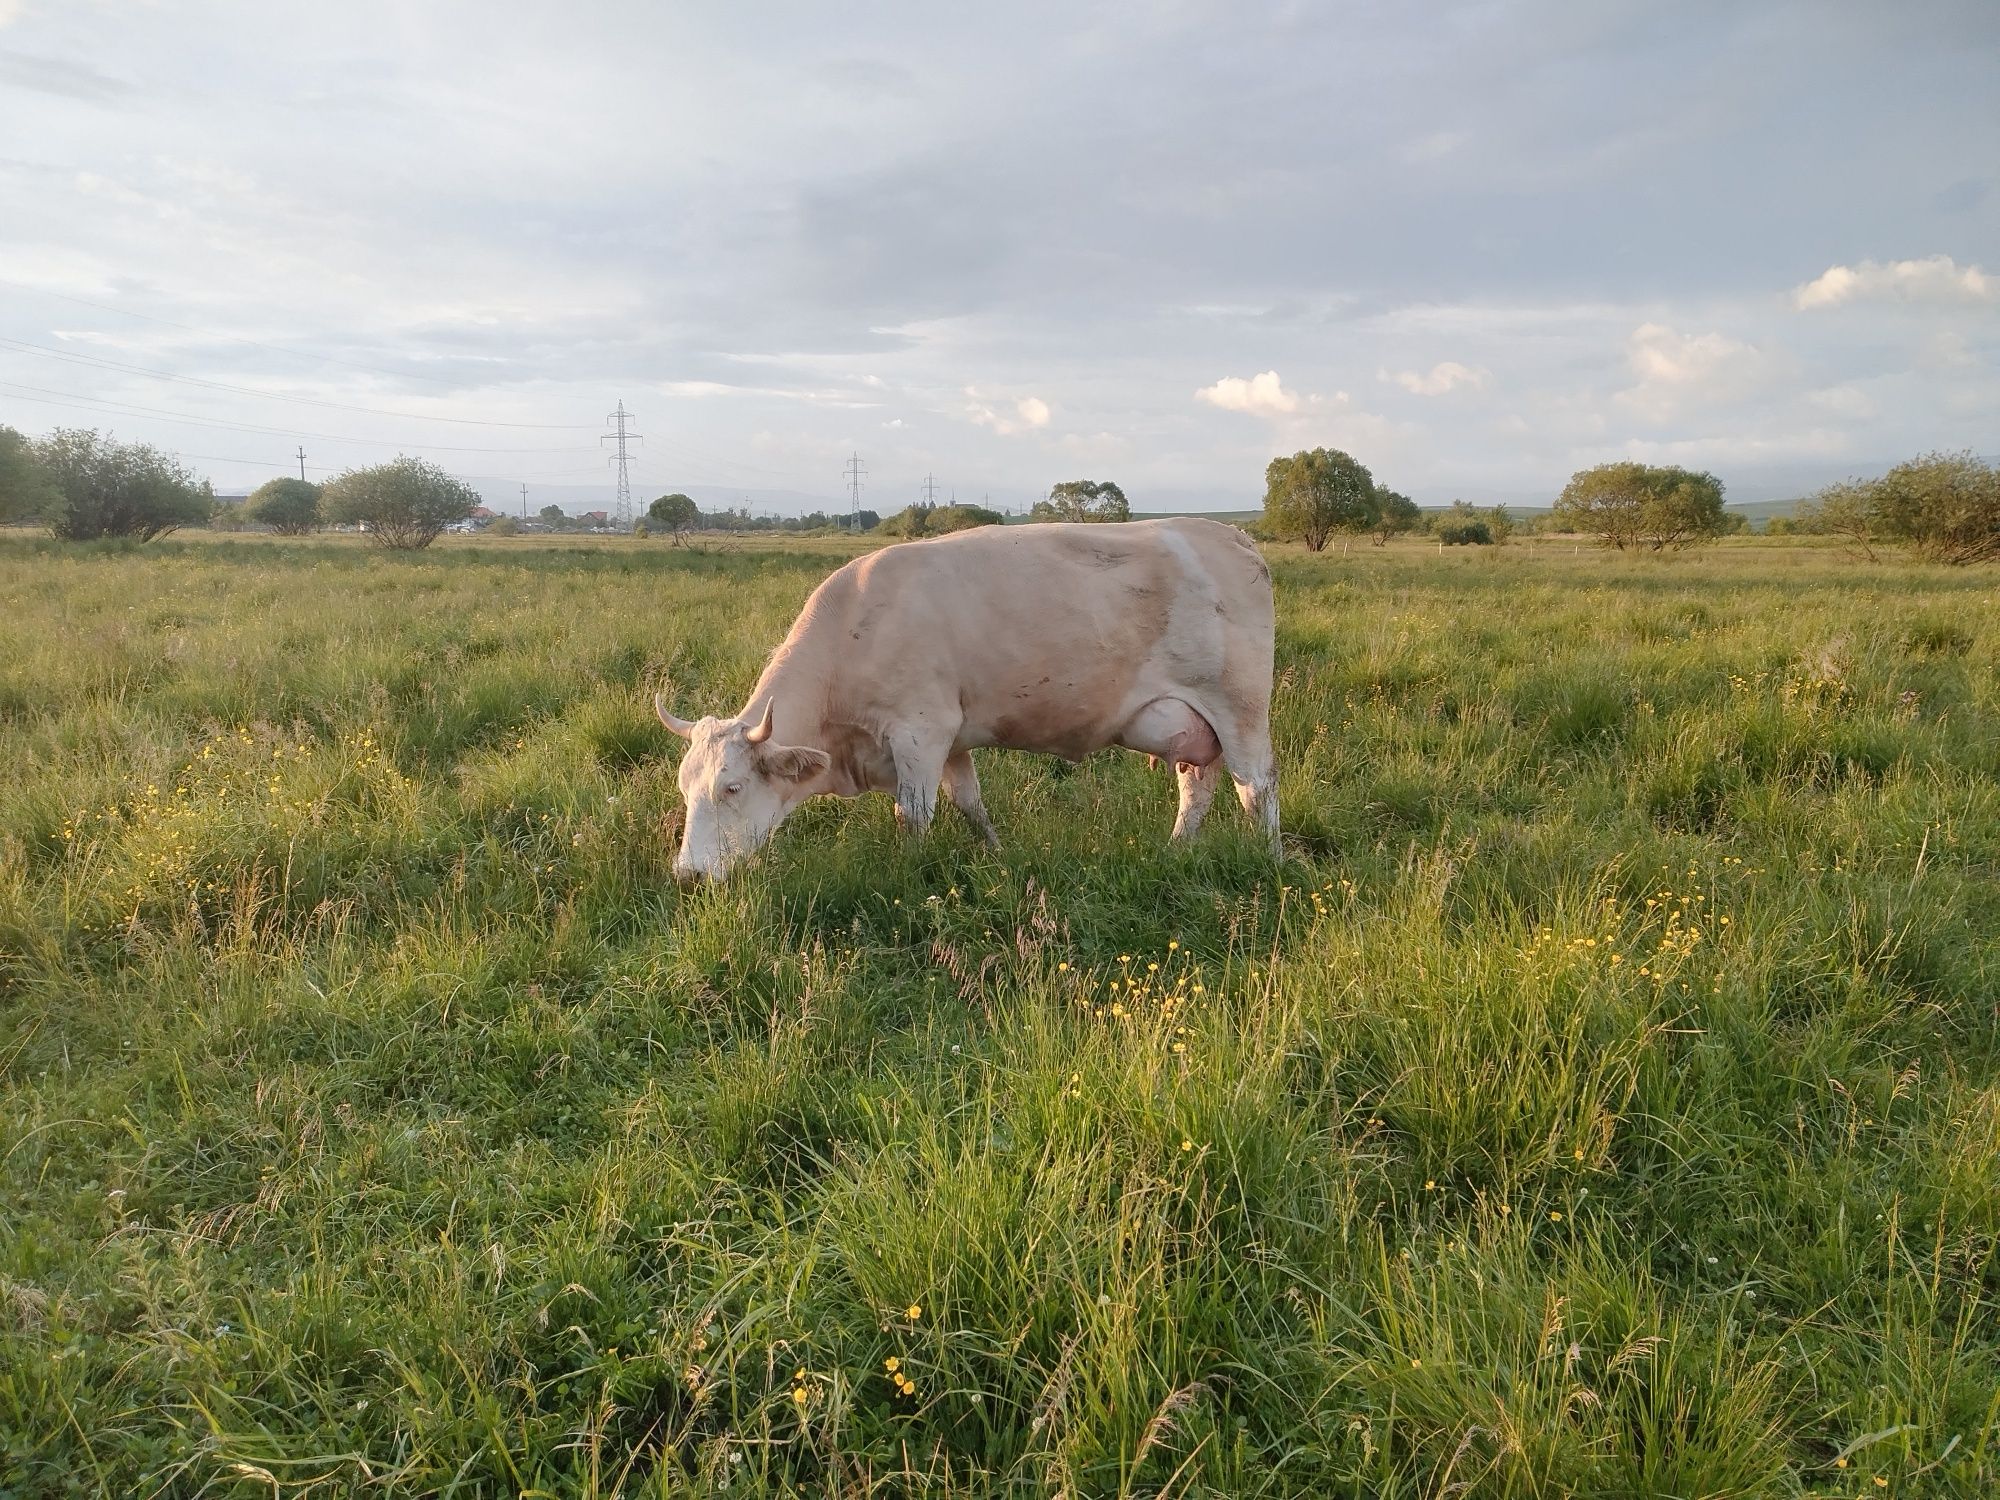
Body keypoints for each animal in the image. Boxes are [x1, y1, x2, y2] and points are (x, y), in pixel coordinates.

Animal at [656, 516, 1280, 880]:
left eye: (732, 788)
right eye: (685, 788)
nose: (687, 873)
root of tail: (1231, 536)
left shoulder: (920, 731)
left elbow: (914, 815)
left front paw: (909, 875)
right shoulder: (951, 739)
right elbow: (969, 804)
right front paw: (998, 853)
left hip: (1240, 709)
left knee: (1257, 788)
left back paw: (1270, 861)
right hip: (1192, 724)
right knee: (1197, 789)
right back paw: (1175, 852)